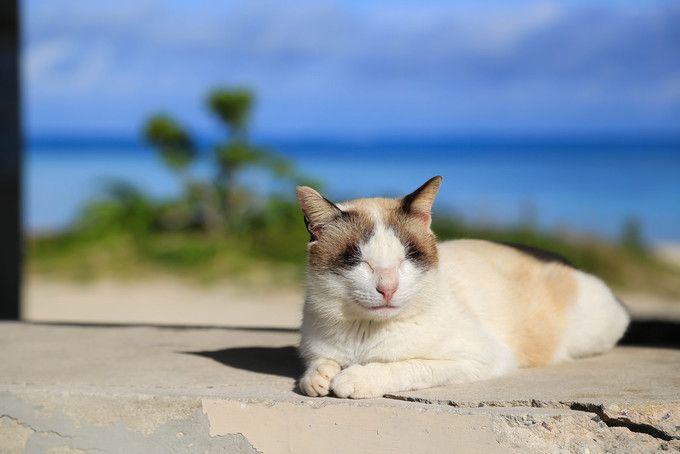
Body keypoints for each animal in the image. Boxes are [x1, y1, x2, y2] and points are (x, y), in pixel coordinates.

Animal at [294, 176, 628, 400]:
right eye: (356, 260)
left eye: (409, 257)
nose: (388, 288)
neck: (362, 336)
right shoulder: (318, 348)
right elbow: (317, 363)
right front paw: (319, 376)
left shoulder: (476, 358)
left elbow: (404, 366)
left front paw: (354, 378)